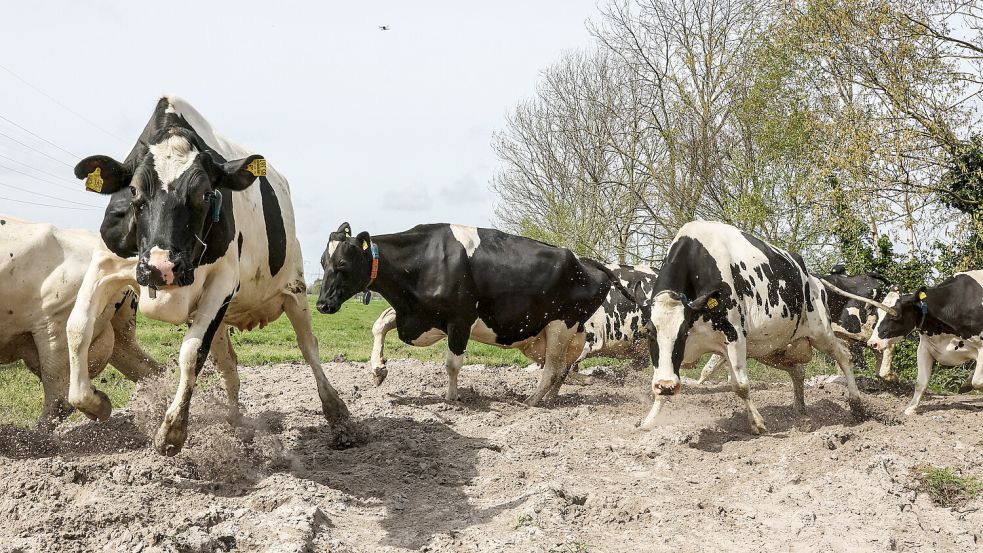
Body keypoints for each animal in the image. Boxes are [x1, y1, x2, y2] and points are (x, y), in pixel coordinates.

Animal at [65, 95, 350, 454]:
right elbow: (77, 327)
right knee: (229, 362)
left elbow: (191, 352)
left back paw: (339, 418)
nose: (161, 267)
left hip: (294, 288)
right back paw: (236, 422)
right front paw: (95, 403)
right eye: (134, 192)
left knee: (308, 347)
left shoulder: (223, 282)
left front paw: (172, 430)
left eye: (204, 193)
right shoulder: (105, 264)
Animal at [320, 222, 636, 404]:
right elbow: (380, 323)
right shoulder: (419, 316)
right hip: (555, 333)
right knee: (562, 367)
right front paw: (378, 369)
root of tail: (588, 262)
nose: (322, 304)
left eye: (343, 264)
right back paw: (549, 399)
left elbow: (452, 364)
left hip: (561, 323)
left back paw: (531, 401)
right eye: (324, 262)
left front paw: (451, 399)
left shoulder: (459, 320)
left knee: (553, 369)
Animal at [644, 222, 860, 434]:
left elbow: (740, 386)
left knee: (843, 354)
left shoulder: (734, 336)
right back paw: (799, 410)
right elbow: (661, 380)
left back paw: (857, 403)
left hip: (820, 332)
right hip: (771, 349)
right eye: (649, 332)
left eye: (682, 333)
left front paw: (756, 422)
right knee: (798, 371)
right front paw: (651, 419)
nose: (667, 386)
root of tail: (813, 279)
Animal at [868, 272, 983, 414]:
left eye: (895, 316)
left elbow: (977, 381)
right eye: (878, 314)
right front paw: (910, 408)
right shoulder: (924, 348)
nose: (872, 343)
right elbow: (920, 382)